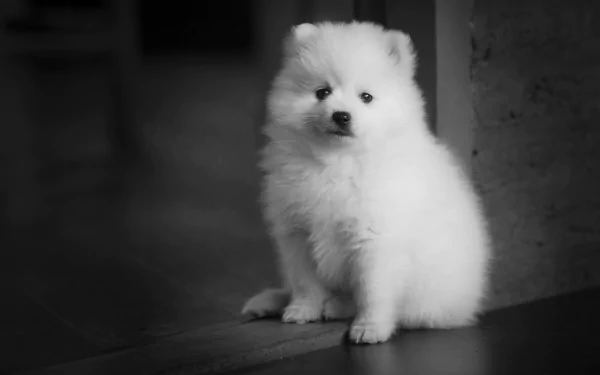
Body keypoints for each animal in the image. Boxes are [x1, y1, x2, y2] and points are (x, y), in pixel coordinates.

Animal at [241, 19, 490, 344]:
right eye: (322, 92)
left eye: (366, 97)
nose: (341, 115)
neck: (337, 162)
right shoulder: (297, 234)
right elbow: (305, 282)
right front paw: (302, 310)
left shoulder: (375, 242)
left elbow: (372, 292)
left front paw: (370, 328)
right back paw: (272, 301)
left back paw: (335, 306)